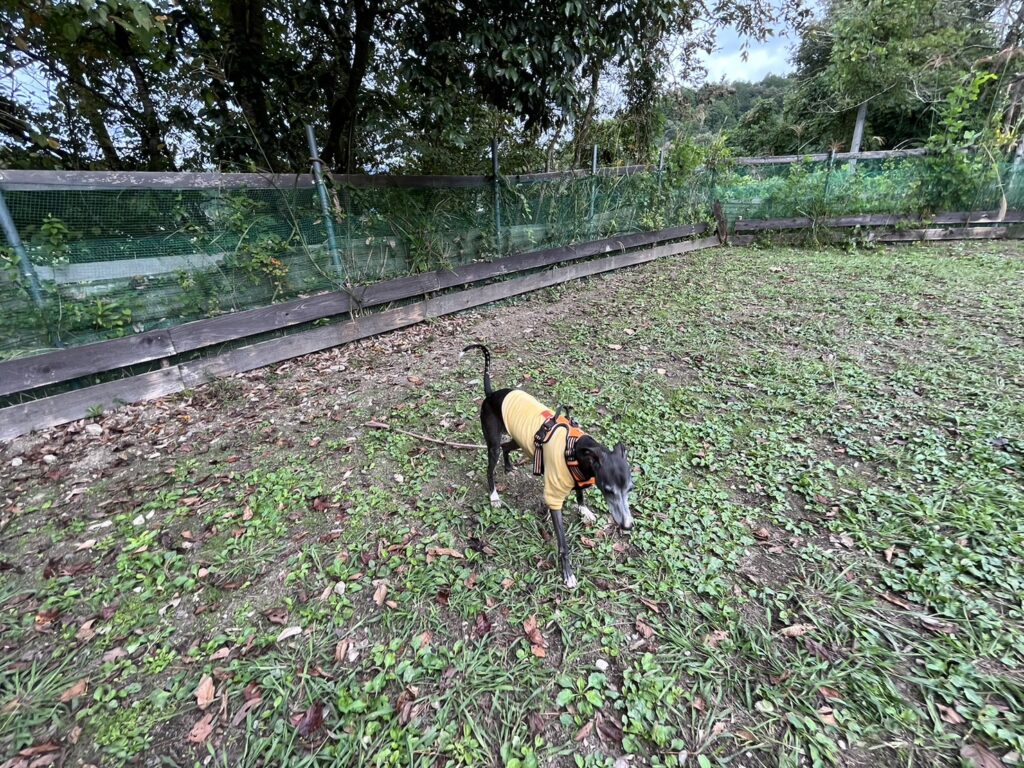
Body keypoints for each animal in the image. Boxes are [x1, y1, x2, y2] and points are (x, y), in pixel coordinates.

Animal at [461, 343, 634, 589]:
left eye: (630, 489)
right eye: (608, 491)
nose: (627, 525)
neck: (574, 447)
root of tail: (491, 394)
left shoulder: (579, 476)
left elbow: (580, 493)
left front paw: (584, 510)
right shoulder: (554, 498)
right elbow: (562, 544)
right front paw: (568, 573)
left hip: (519, 440)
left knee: (506, 447)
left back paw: (509, 467)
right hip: (492, 444)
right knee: (490, 467)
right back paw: (494, 495)